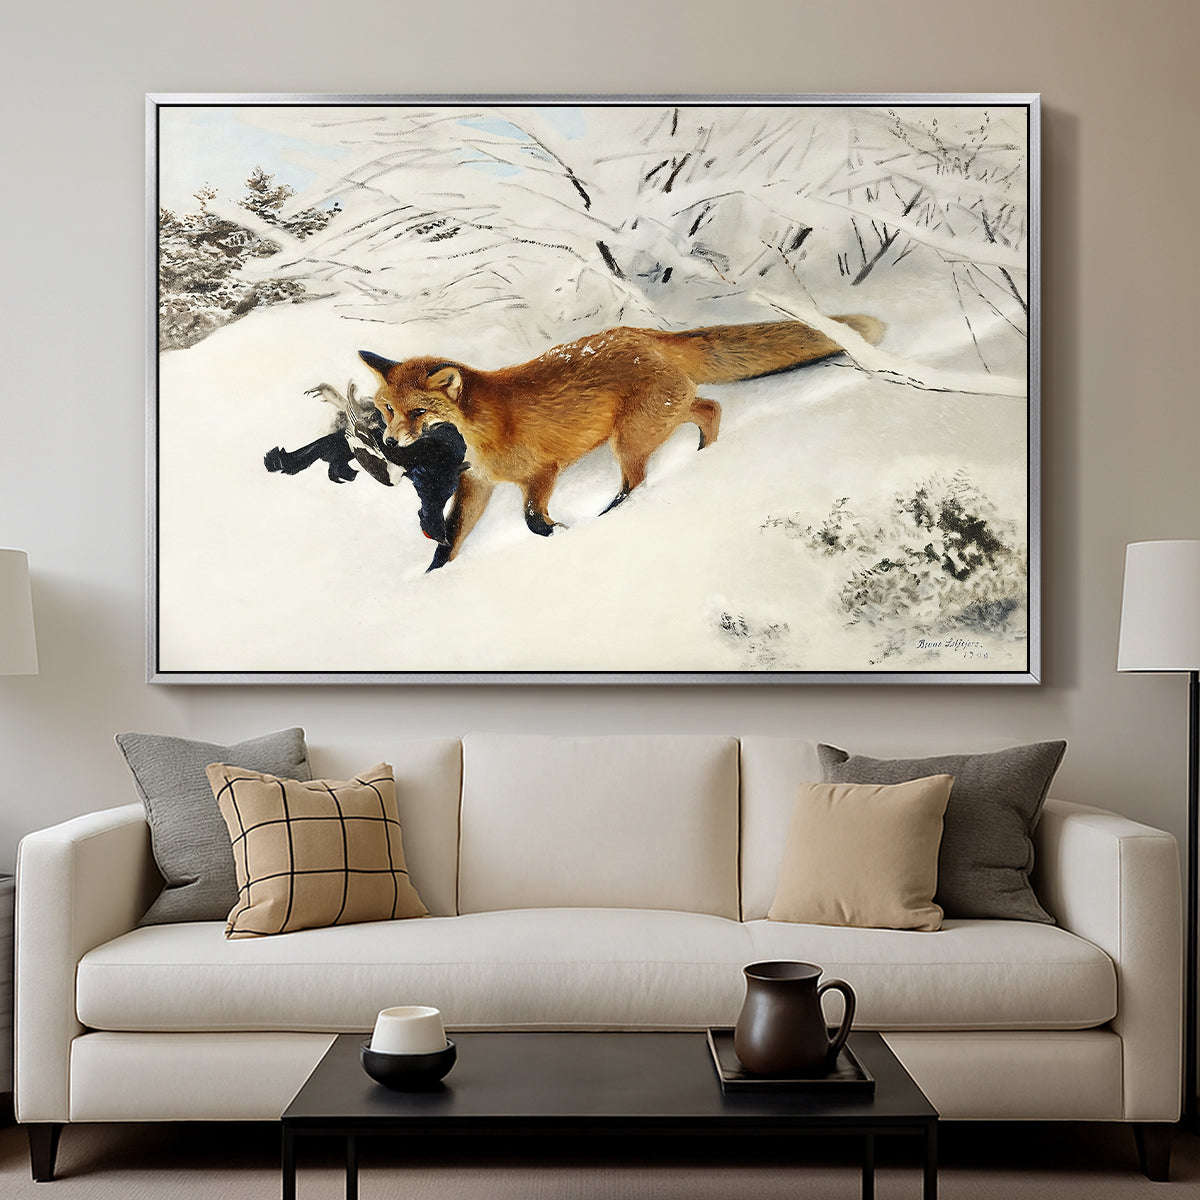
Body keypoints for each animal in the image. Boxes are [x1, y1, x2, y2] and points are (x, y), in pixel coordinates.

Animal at [360, 314, 884, 569]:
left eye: (418, 412)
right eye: (387, 408)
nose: (390, 440)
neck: (483, 429)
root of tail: (646, 334)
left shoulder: (542, 472)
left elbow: (532, 520)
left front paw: (562, 534)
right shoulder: (477, 484)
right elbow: (451, 539)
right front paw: (433, 577)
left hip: (629, 439)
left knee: (639, 480)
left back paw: (615, 514)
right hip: (658, 419)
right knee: (710, 408)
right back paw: (704, 457)